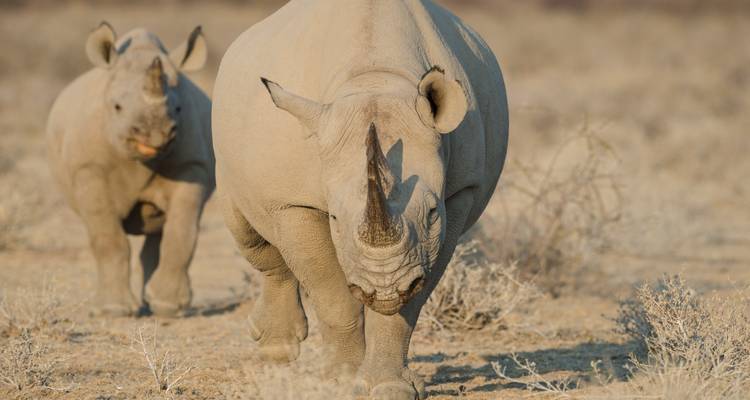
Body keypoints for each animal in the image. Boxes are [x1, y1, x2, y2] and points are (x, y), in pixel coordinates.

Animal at [46, 22, 214, 317]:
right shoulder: (89, 168)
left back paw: (154, 305)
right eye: (117, 107)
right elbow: (108, 239)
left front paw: (170, 307)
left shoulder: (192, 165)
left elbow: (182, 232)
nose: (156, 134)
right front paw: (114, 309)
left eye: (178, 108)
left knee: (160, 231)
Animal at [213, 0, 508, 398]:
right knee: (250, 234)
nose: (383, 288)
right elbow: (331, 293)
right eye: (334, 219)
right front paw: (342, 383)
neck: (375, 79)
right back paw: (277, 351)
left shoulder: (459, 193)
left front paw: (391, 387)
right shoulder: (296, 201)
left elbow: (410, 303)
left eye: (432, 212)